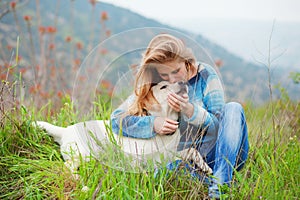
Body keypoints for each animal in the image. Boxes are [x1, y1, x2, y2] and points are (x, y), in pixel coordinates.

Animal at [35, 81, 212, 183]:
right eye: (163, 86)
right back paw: (77, 178)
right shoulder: (139, 158)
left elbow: (192, 150)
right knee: (67, 166)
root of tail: (65, 130)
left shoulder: (170, 154)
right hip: (86, 153)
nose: (183, 82)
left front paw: (205, 167)